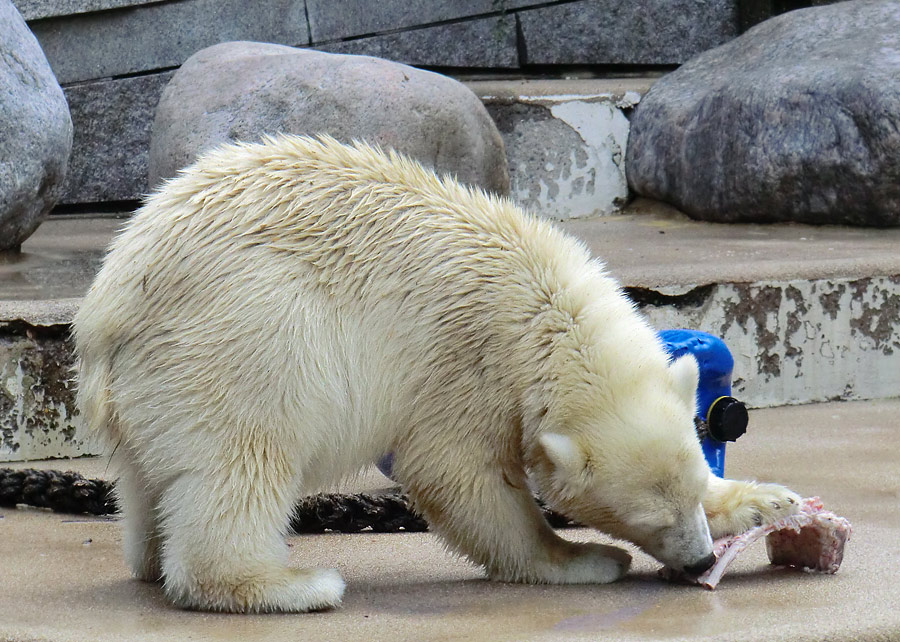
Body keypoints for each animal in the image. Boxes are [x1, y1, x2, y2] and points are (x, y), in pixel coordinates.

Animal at [72, 134, 800, 608]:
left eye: (691, 492)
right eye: (648, 515)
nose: (700, 558)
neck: (545, 304)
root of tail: (105, 309)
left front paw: (771, 501)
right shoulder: (464, 357)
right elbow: (458, 473)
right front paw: (585, 558)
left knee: (151, 476)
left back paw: (153, 557)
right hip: (245, 330)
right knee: (246, 450)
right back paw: (288, 585)